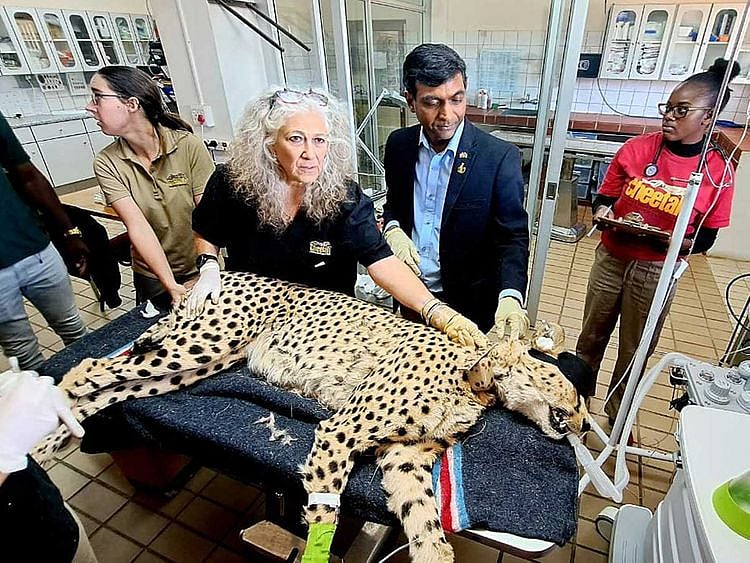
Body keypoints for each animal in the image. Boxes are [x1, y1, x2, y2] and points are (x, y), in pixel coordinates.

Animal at [34, 271, 591, 563]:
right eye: (575, 393)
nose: (585, 425)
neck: (477, 382)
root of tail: (222, 272)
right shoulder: (340, 431)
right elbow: (325, 515)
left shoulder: (403, 459)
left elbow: (427, 525)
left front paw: (432, 551)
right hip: (196, 346)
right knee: (88, 367)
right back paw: (35, 436)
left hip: (196, 366)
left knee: (109, 390)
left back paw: (44, 447)